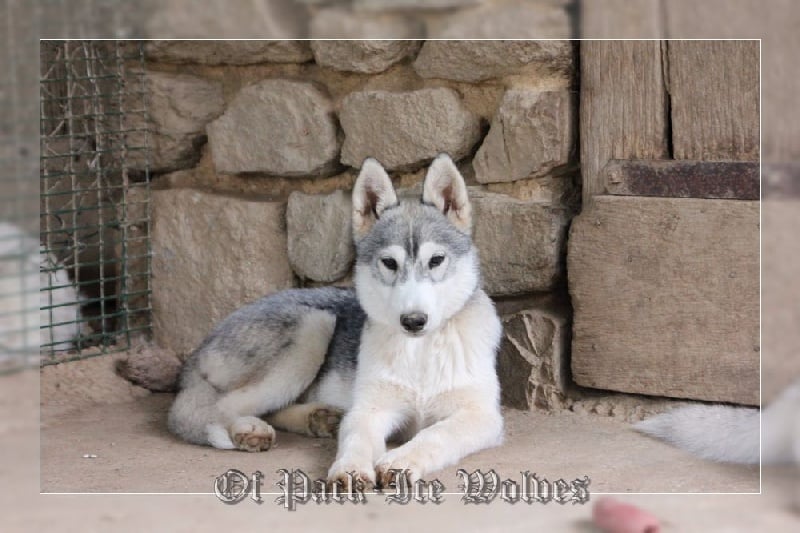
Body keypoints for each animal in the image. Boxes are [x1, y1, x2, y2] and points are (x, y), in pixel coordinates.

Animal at [168, 154, 504, 486]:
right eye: (389, 263)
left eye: (436, 261)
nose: (413, 321)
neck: (419, 353)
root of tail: (199, 351)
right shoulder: (369, 409)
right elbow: (357, 440)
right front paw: (351, 469)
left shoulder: (482, 415)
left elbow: (436, 434)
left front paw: (402, 461)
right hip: (312, 327)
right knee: (214, 408)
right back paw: (249, 429)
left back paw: (318, 418)